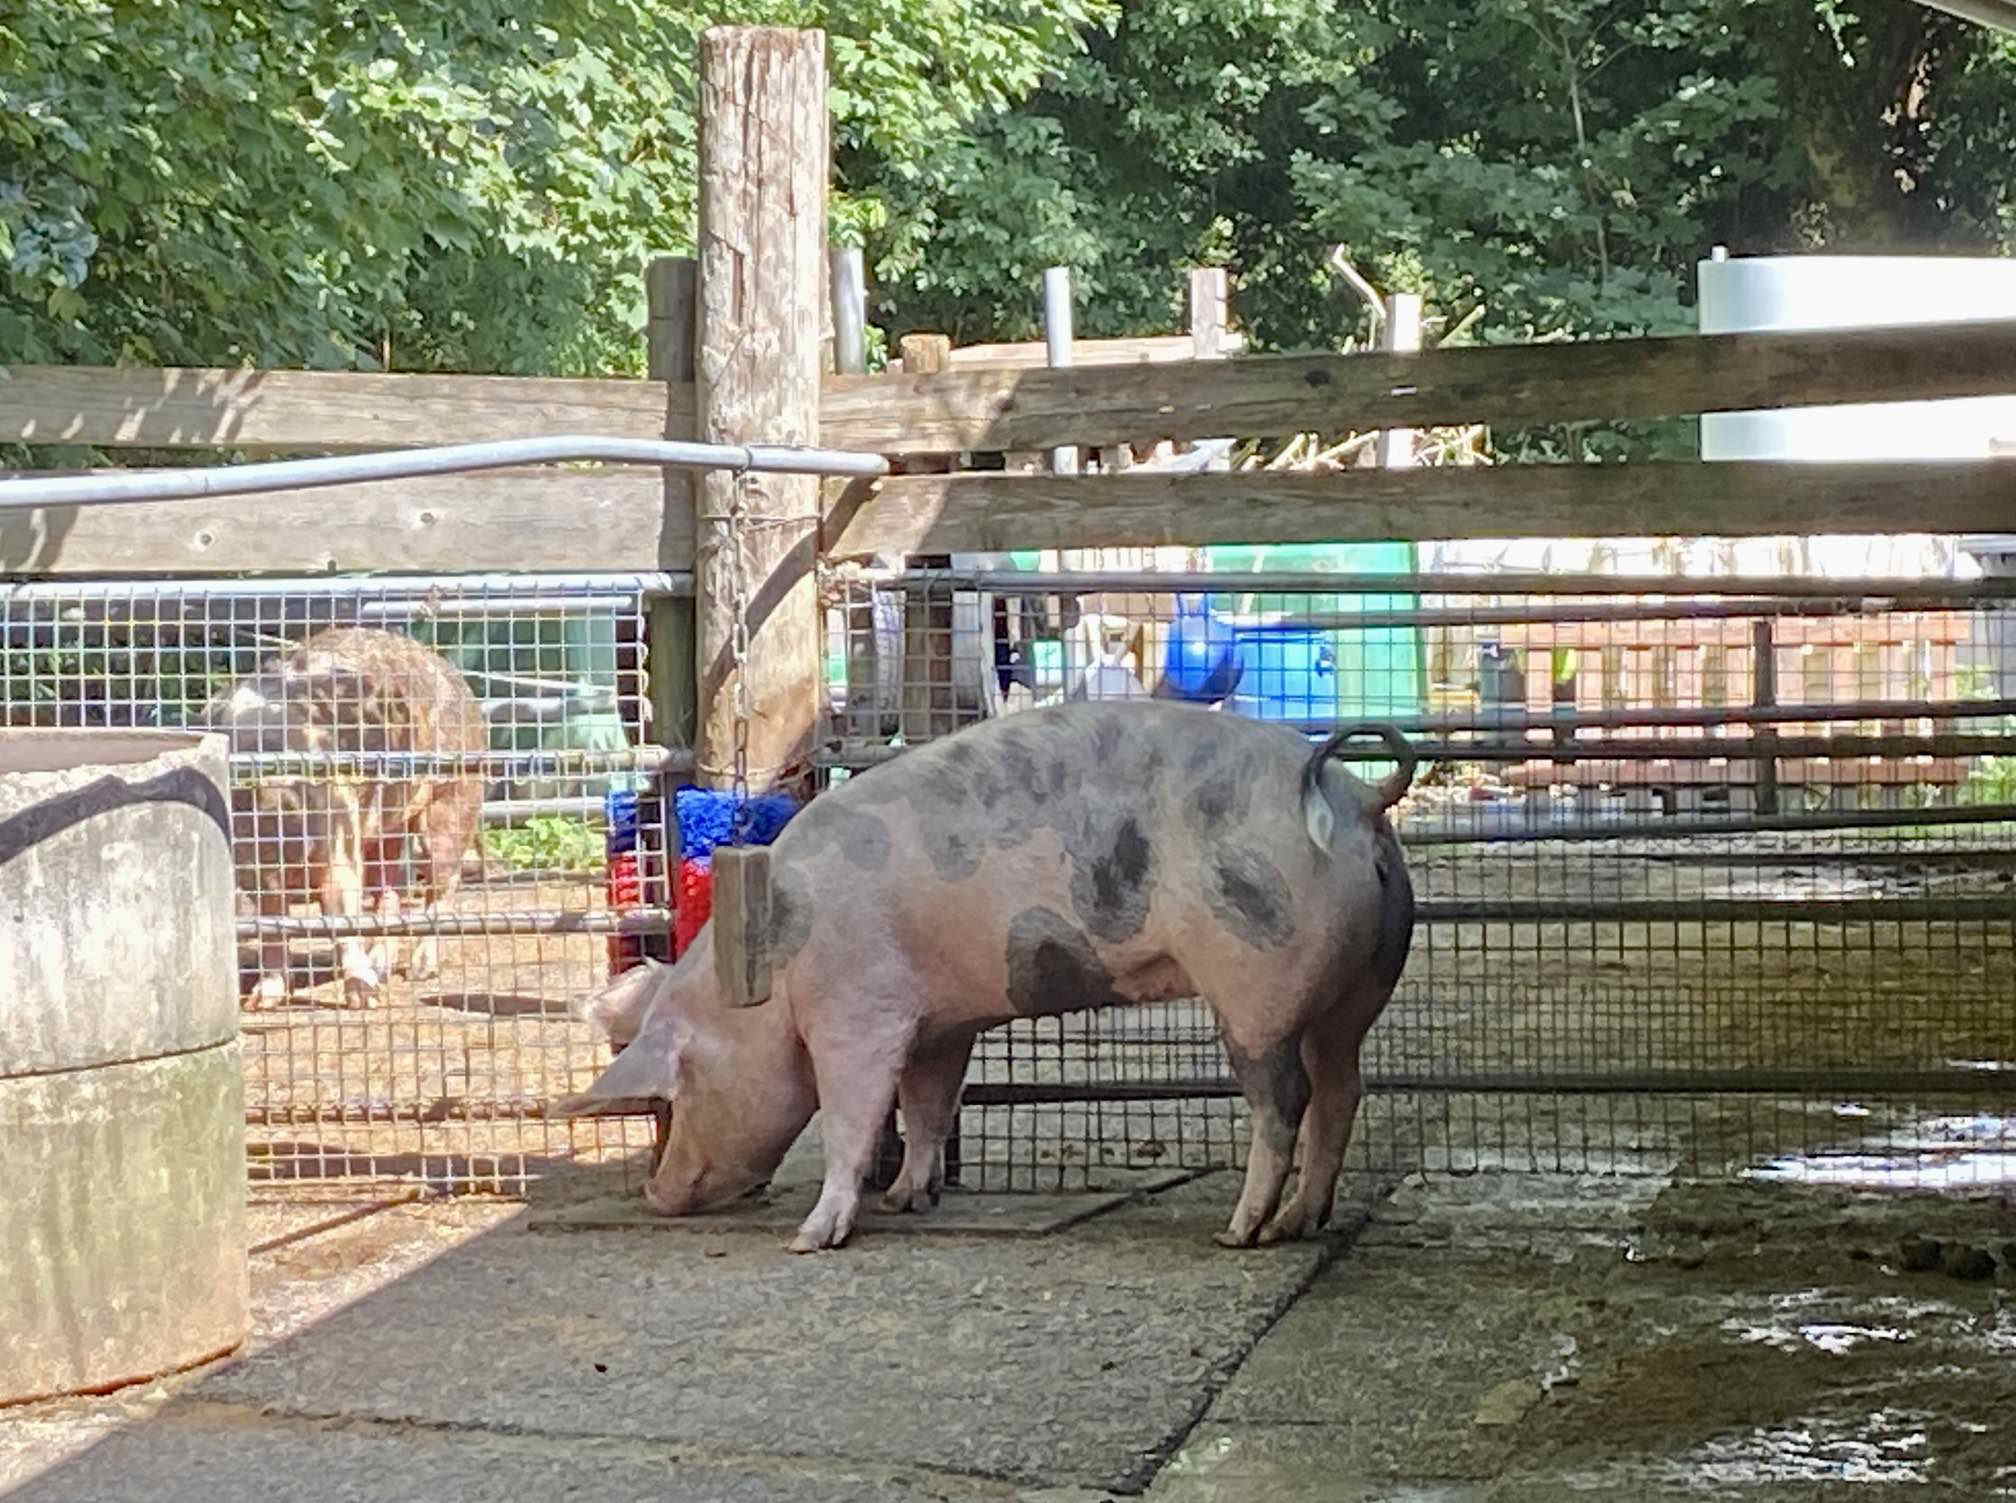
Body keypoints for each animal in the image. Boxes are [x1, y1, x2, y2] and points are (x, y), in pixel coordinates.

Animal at [195, 627, 487, 1008]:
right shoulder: (254, 869)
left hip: (454, 794)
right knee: (389, 888)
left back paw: (420, 971)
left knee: (442, 880)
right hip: (386, 826)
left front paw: (364, 1000)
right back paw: (381, 967)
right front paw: (261, 1002)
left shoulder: (339, 829)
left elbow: (341, 907)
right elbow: (272, 923)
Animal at [557, 699, 1415, 1253]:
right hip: (1361, 984)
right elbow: (930, 1106)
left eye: (678, 1091)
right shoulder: (942, 1020)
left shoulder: (860, 1010)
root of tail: (1361, 800)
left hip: (1257, 984)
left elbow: (853, 1116)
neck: (771, 965)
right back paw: (1301, 1221)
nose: (655, 1193)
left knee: (1286, 1100)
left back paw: (1239, 1232)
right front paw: (908, 1199)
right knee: (1343, 1088)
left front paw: (811, 1239)